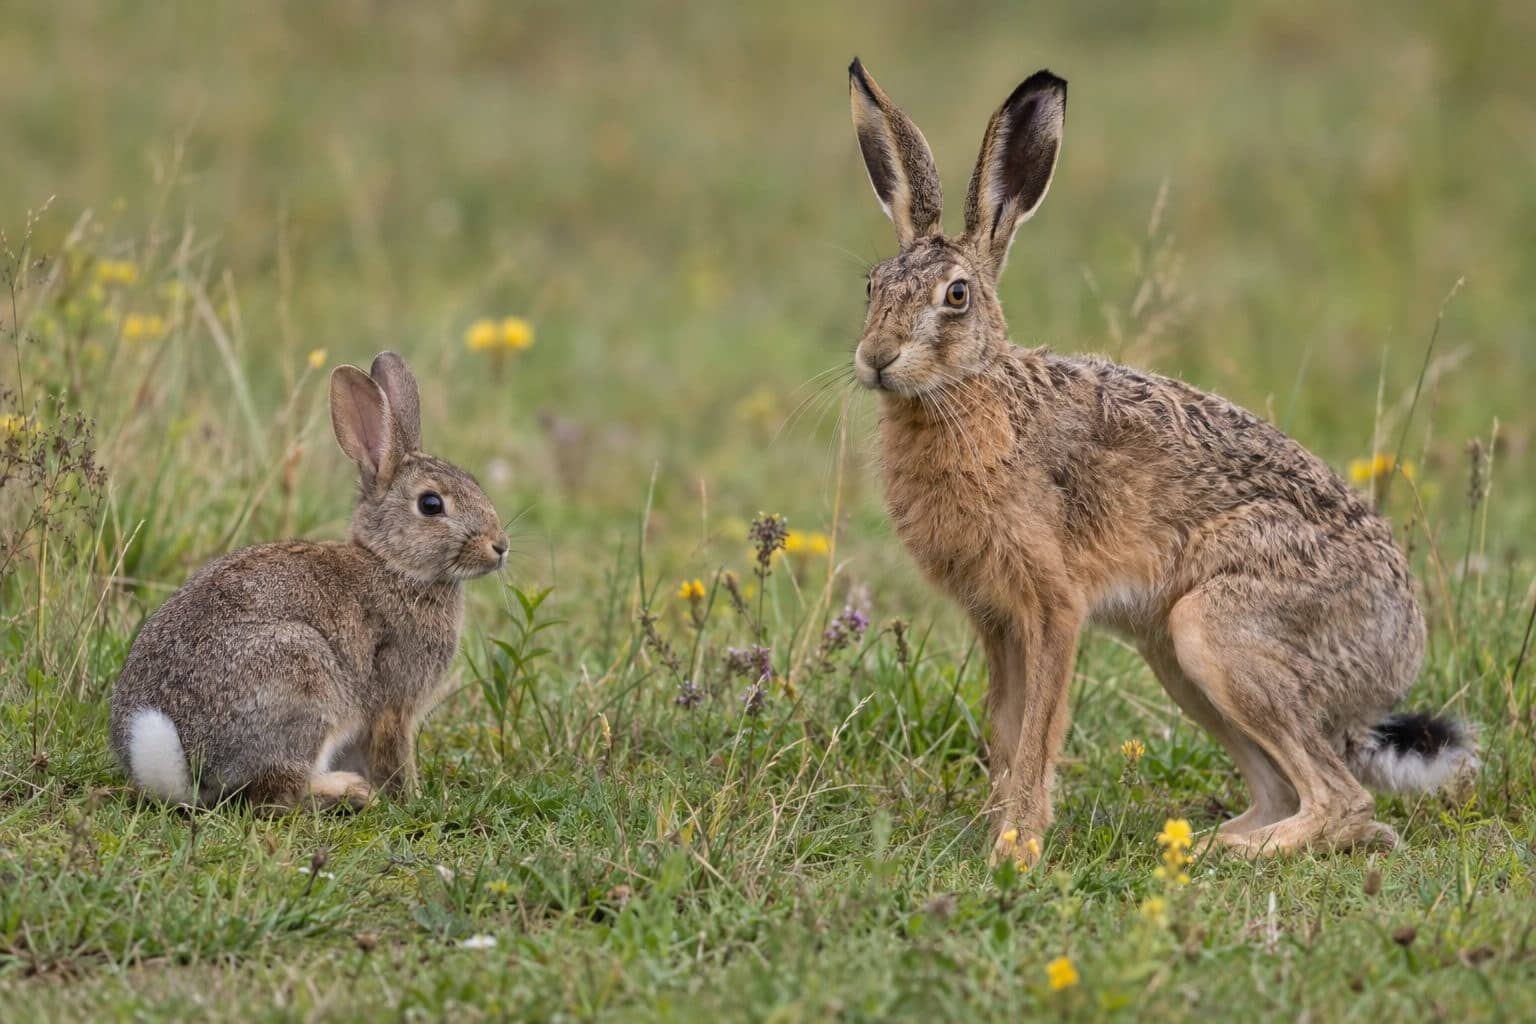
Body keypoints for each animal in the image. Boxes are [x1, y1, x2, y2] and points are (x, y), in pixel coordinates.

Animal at [109, 352, 508, 811]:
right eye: (431, 504)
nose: (500, 546)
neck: (393, 565)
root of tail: (186, 767)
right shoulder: (394, 703)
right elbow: (394, 753)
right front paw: (411, 797)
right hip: (304, 679)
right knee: (281, 790)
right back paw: (352, 791)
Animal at [845, 58, 1477, 865]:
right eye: (871, 286)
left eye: (955, 296)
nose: (876, 358)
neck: (971, 392)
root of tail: (1399, 650)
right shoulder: (996, 620)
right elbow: (1005, 729)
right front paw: (996, 831)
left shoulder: (1051, 607)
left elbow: (1037, 732)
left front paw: (1016, 848)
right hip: (1175, 655)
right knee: (1291, 793)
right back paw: (1199, 841)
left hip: (1219, 630)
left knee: (1343, 801)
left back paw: (1218, 853)